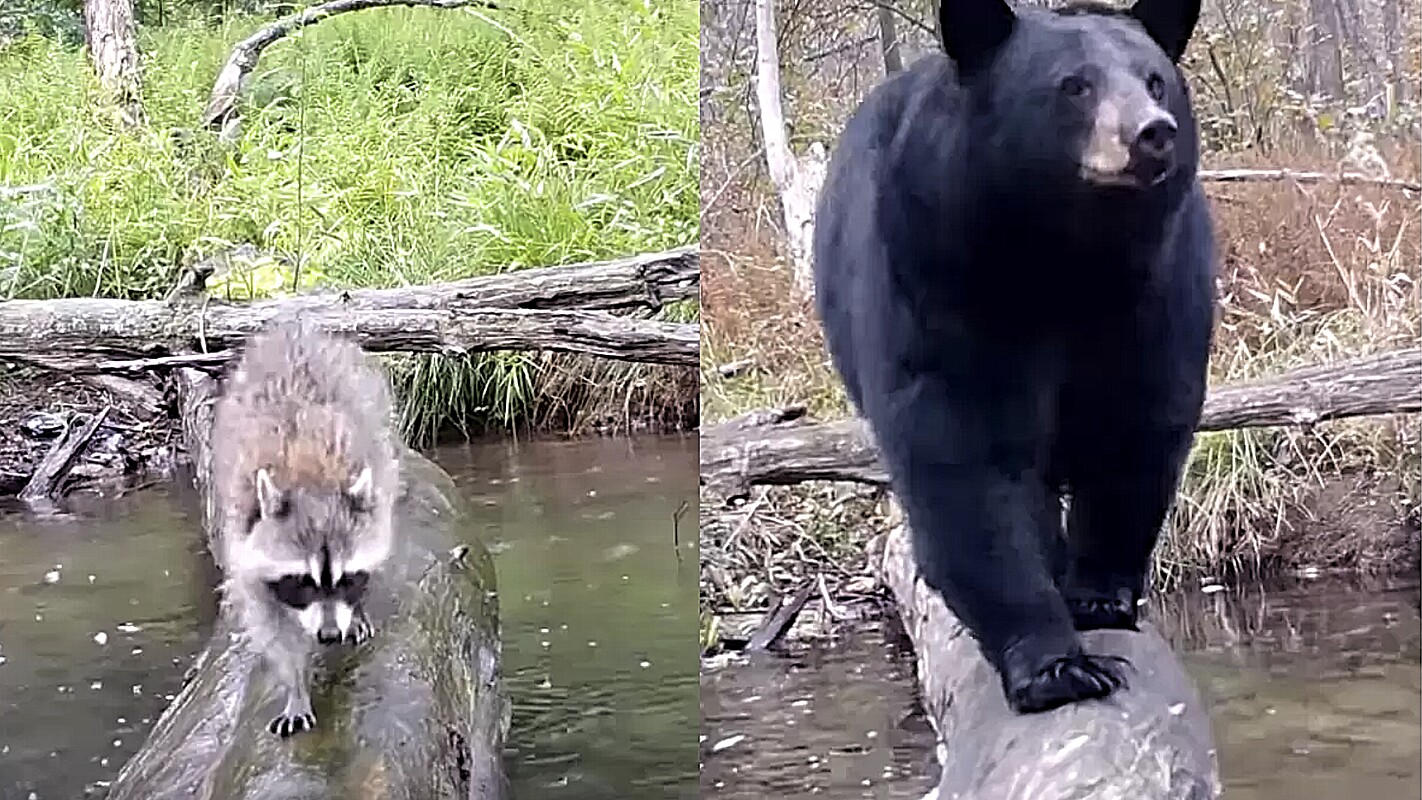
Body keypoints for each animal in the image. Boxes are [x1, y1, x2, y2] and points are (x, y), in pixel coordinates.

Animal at [210, 318, 401, 738]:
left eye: (348, 579)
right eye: (302, 582)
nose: (329, 635)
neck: (311, 479)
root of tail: (293, 324)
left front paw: (355, 610)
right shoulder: (245, 547)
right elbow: (273, 631)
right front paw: (294, 686)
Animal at [819, 0, 1217, 716]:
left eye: (1156, 80)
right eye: (1074, 85)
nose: (1153, 133)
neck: (1061, 256)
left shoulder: (1156, 290)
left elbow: (1137, 425)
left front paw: (1098, 594)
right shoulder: (935, 275)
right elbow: (965, 457)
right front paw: (1057, 665)